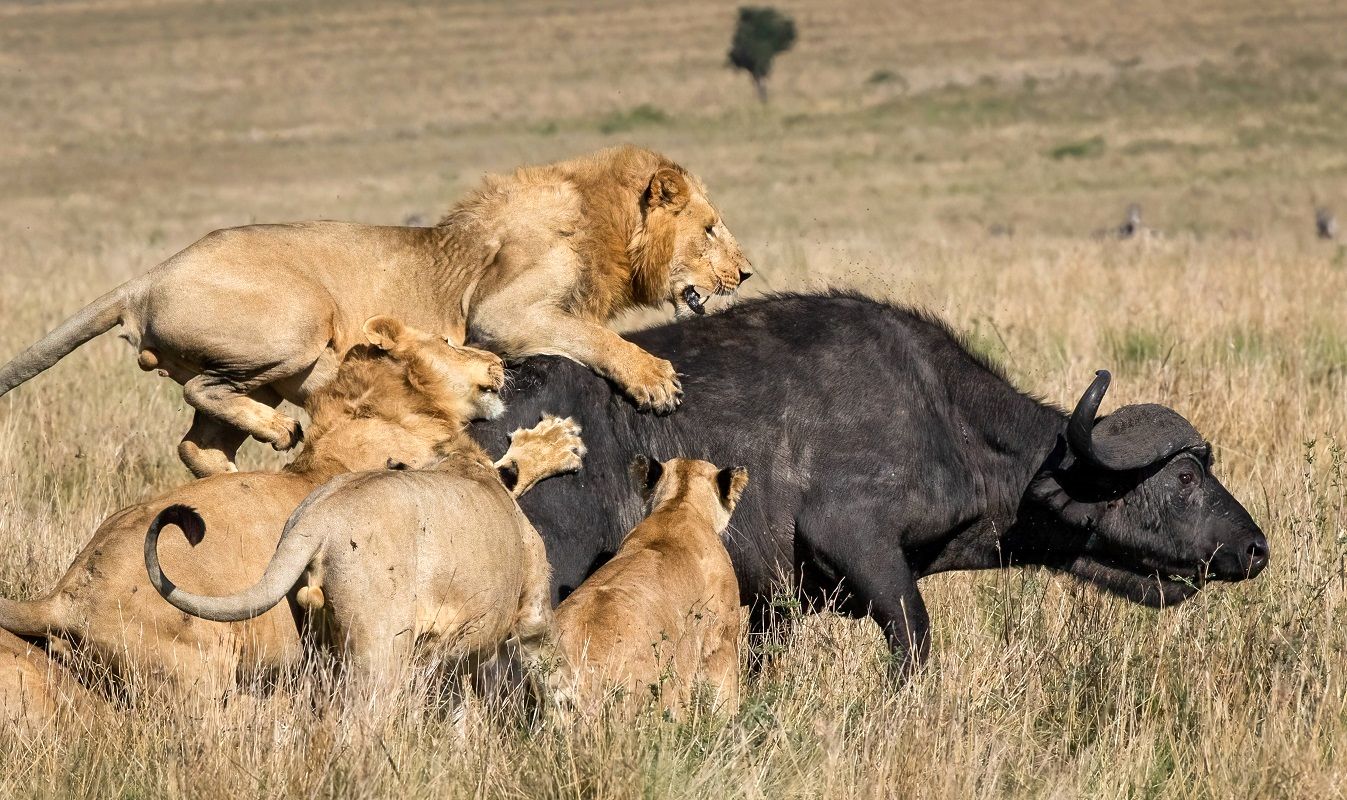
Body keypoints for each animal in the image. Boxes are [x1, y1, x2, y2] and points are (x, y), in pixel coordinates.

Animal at [0, 144, 754, 474]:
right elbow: (595, 337)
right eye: (711, 228)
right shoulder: (501, 314)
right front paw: (655, 381)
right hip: (301, 319)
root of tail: (145, 277)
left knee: (194, 441)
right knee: (203, 387)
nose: (745, 272)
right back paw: (280, 435)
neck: (607, 227)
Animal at [0, 315, 581, 694]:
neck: (383, 405)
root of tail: (66, 593)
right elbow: (509, 474)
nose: (499, 361)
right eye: (447, 341)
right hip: (203, 680)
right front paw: (558, 443)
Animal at [471, 292, 1260, 673]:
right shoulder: (858, 542)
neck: (946, 417)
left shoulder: (768, 606)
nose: (1256, 548)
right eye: (1185, 474)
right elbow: (914, 639)